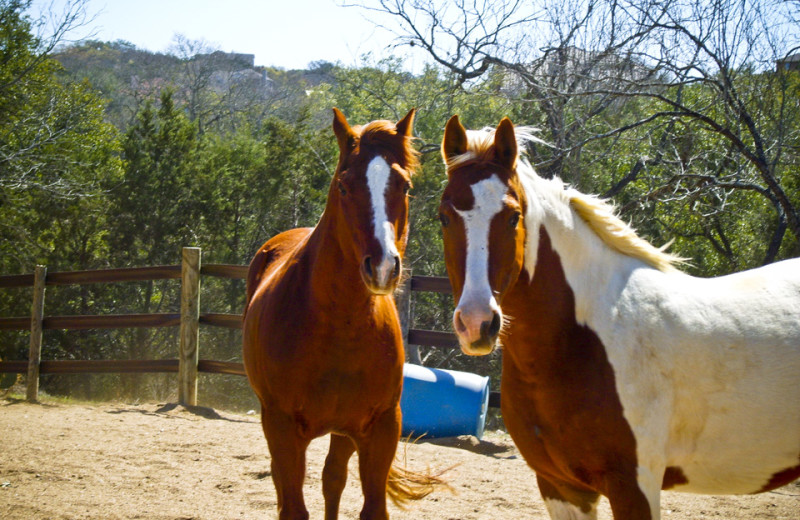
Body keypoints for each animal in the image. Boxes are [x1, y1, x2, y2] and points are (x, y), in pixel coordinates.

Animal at [244, 107, 434, 516]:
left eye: (405, 186)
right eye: (344, 186)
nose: (382, 266)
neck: (340, 326)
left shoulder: (380, 428)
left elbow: (370, 506)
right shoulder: (282, 428)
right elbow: (293, 506)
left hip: (344, 432)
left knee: (333, 480)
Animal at [438, 115, 800, 520]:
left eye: (513, 216)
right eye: (444, 217)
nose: (477, 323)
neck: (584, 341)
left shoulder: (635, 486)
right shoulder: (561, 487)